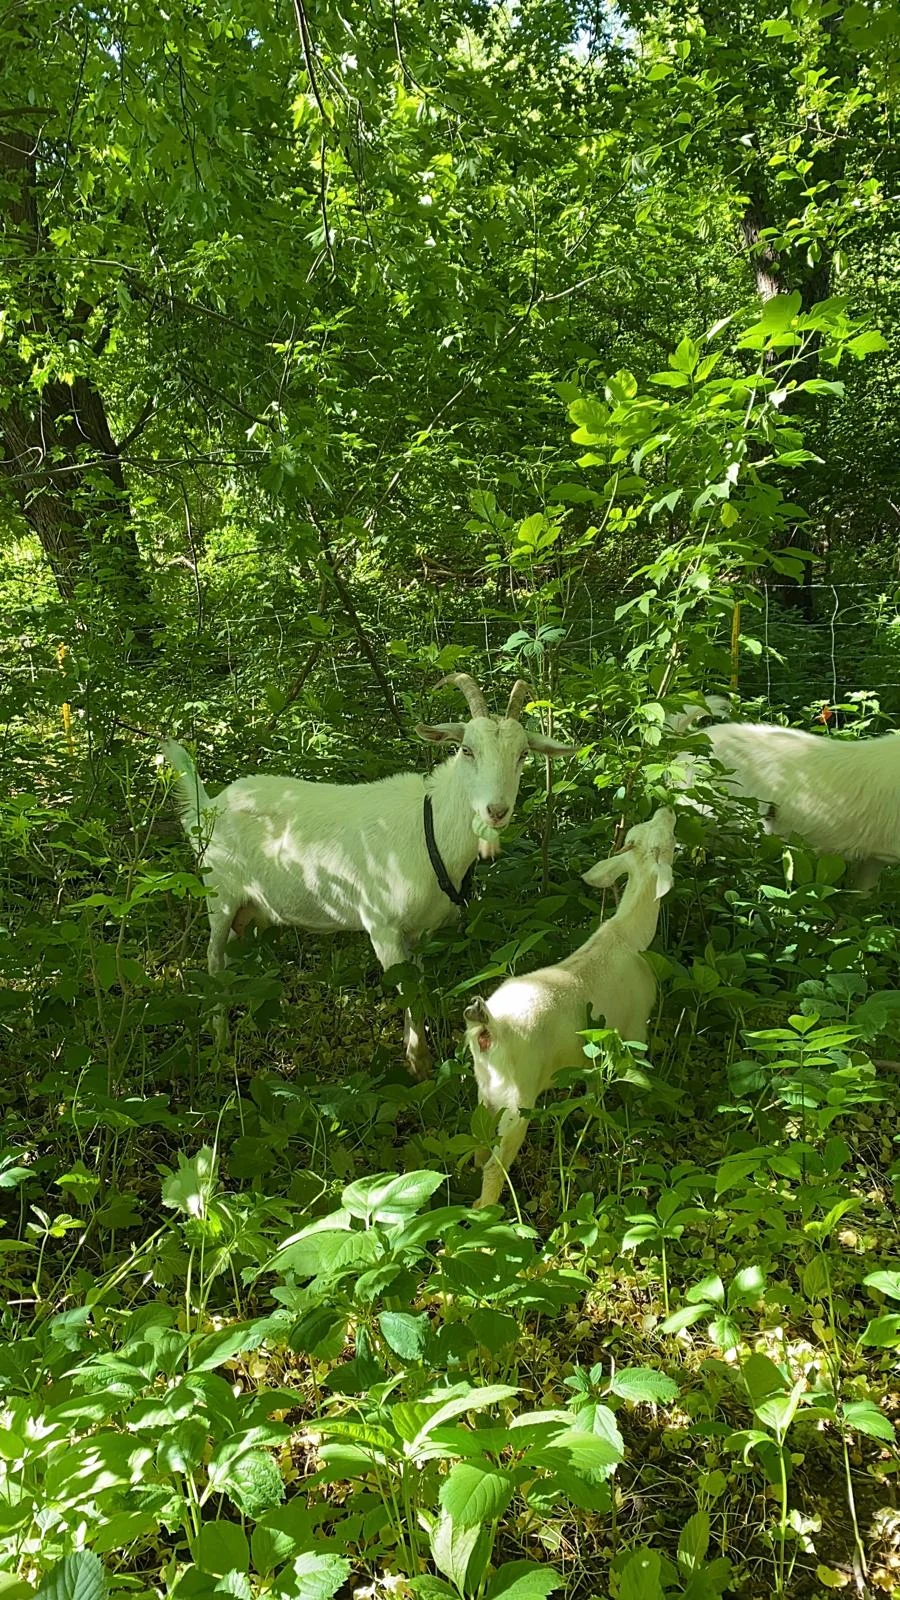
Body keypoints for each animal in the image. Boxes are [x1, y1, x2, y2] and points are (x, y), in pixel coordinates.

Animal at [162, 674, 574, 1075]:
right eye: (467, 750)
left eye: (522, 754)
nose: (496, 810)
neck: (430, 829)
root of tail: (209, 806)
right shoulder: (382, 926)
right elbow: (408, 994)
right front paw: (419, 1067)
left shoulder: (420, 933)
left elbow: (417, 987)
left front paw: (412, 1054)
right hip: (219, 893)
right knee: (213, 960)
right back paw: (219, 1042)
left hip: (248, 911)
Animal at [464, 807, 676, 1208]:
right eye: (669, 840)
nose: (667, 810)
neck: (628, 936)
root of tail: (489, 1026)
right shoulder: (635, 1025)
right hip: (518, 1100)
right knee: (494, 1168)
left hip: (486, 1094)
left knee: (479, 1147)